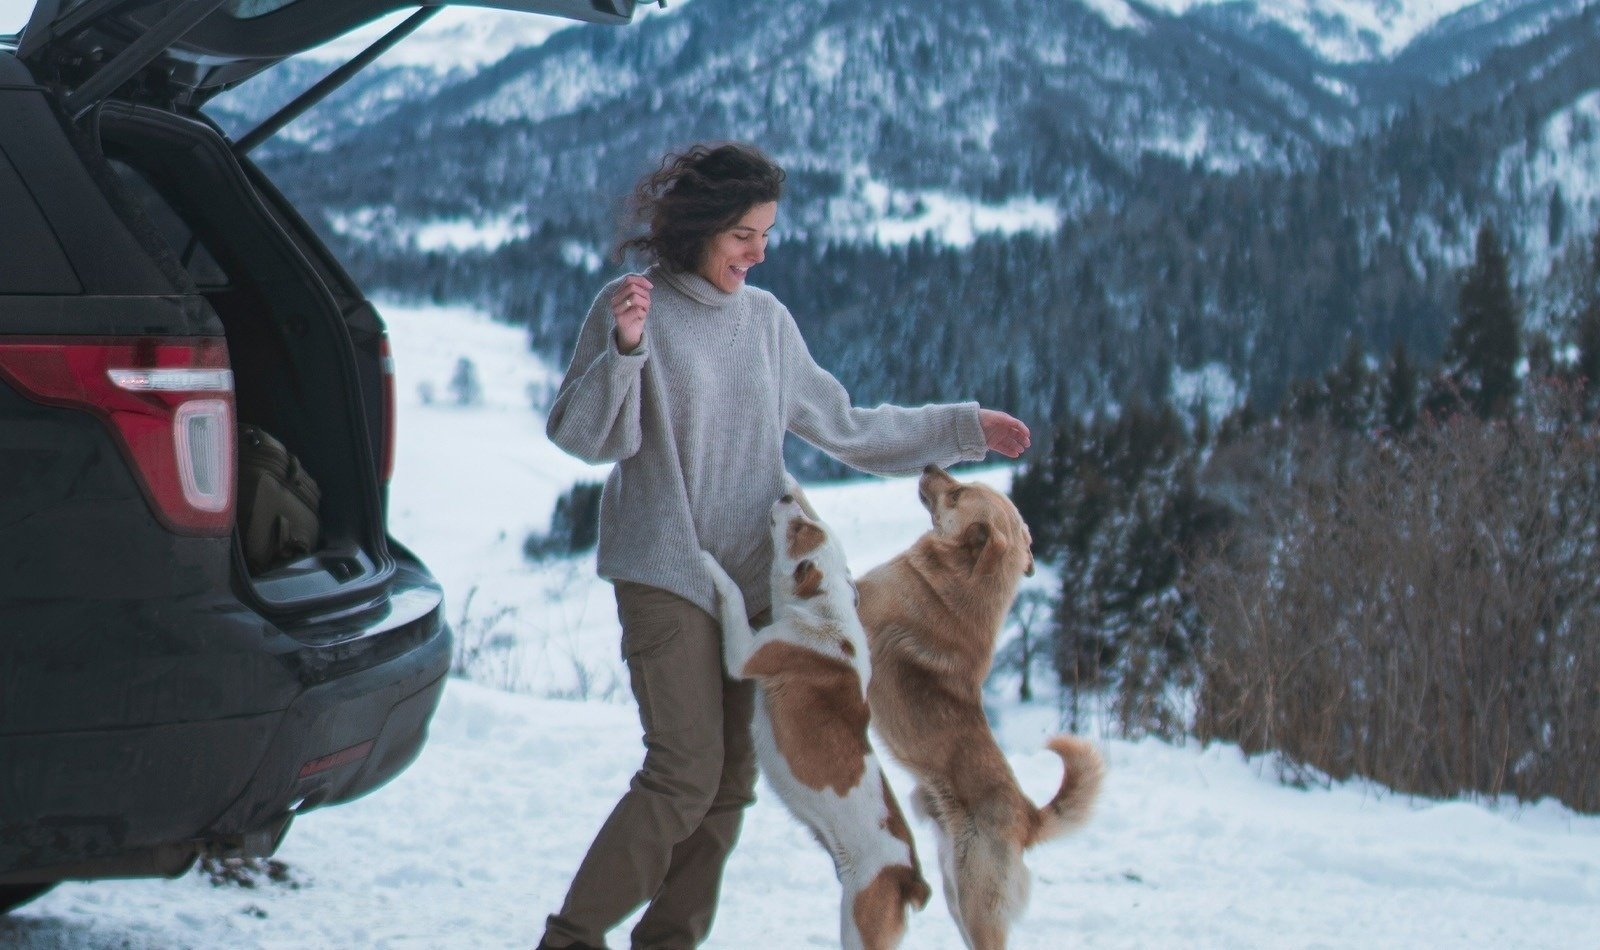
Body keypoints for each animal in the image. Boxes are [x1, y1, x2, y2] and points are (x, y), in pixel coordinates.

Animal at [700, 482, 928, 940]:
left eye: (801, 529)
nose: (787, 498)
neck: (826, 612)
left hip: (859, 921)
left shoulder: (746, 654)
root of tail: (908, 876)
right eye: (811, 522)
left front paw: (707, 560)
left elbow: (732, 593)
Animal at [857, 467, 1107, 946]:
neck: (960, 580)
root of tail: (1028, 817)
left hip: (976, 902)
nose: (930, 467)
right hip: (956, 893)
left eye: (956, 495)